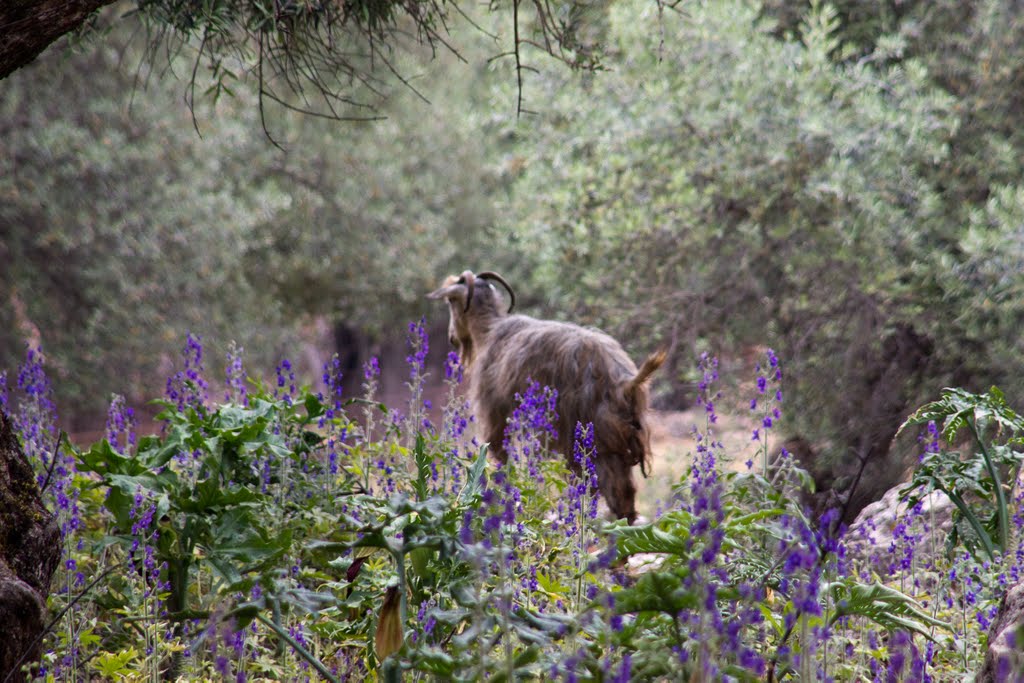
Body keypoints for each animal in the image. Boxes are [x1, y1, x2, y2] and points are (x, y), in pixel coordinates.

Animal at [423, 270, 663, 520]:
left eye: (451, 301)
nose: (452, 337)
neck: (490, 330)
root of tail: (624, 383)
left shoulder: (494, 414)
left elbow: (501, 456)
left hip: (587, 441)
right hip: (613, 447)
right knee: (623, 496)